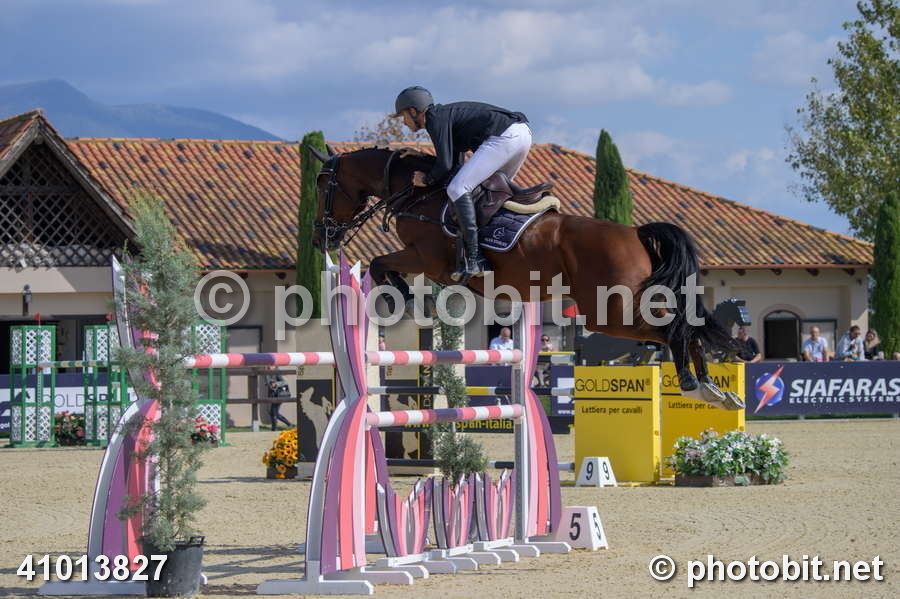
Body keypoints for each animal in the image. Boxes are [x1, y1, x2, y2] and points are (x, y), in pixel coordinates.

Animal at [308, 146, 743, 410]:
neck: (416, 193)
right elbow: (382, 266)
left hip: (610, 312)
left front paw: (415, 304)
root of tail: (635, 232)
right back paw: (714, 390)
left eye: (321, 185)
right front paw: (417, 303)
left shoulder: (425, 258)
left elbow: (381, 264)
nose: (320, 237)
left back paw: (694, 384)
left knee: (674, 330)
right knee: (686, 326)